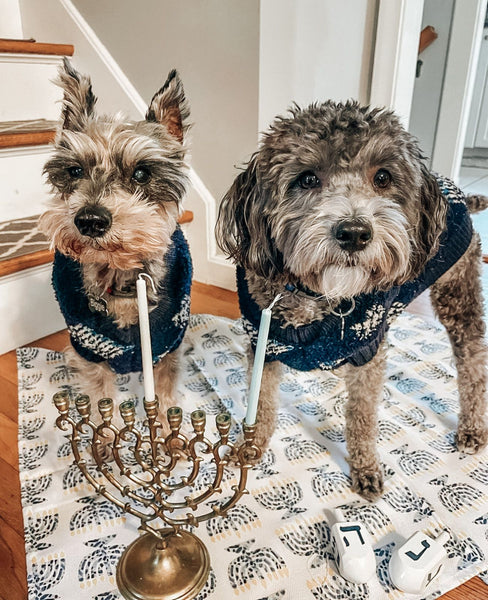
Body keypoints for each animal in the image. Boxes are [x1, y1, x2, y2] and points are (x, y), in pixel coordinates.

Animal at [40, 59, 193, 412]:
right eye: (74, 171)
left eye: (142, 173)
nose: (90, 221)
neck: (121, 276)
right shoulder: (90, 353)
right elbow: (100, 399)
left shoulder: (168, 348)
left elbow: (166, 393)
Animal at [216, 102, 488, 502]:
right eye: (307, 179)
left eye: (383, 177)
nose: (355, 233)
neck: (315, 295)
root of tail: (458, 193)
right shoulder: (263, 345)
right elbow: (261, 402)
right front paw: (251, 447)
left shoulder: (367, 351)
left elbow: (362, 415)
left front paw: (366, 467)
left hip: (459, 298)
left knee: (473, 367)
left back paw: (472, 428)